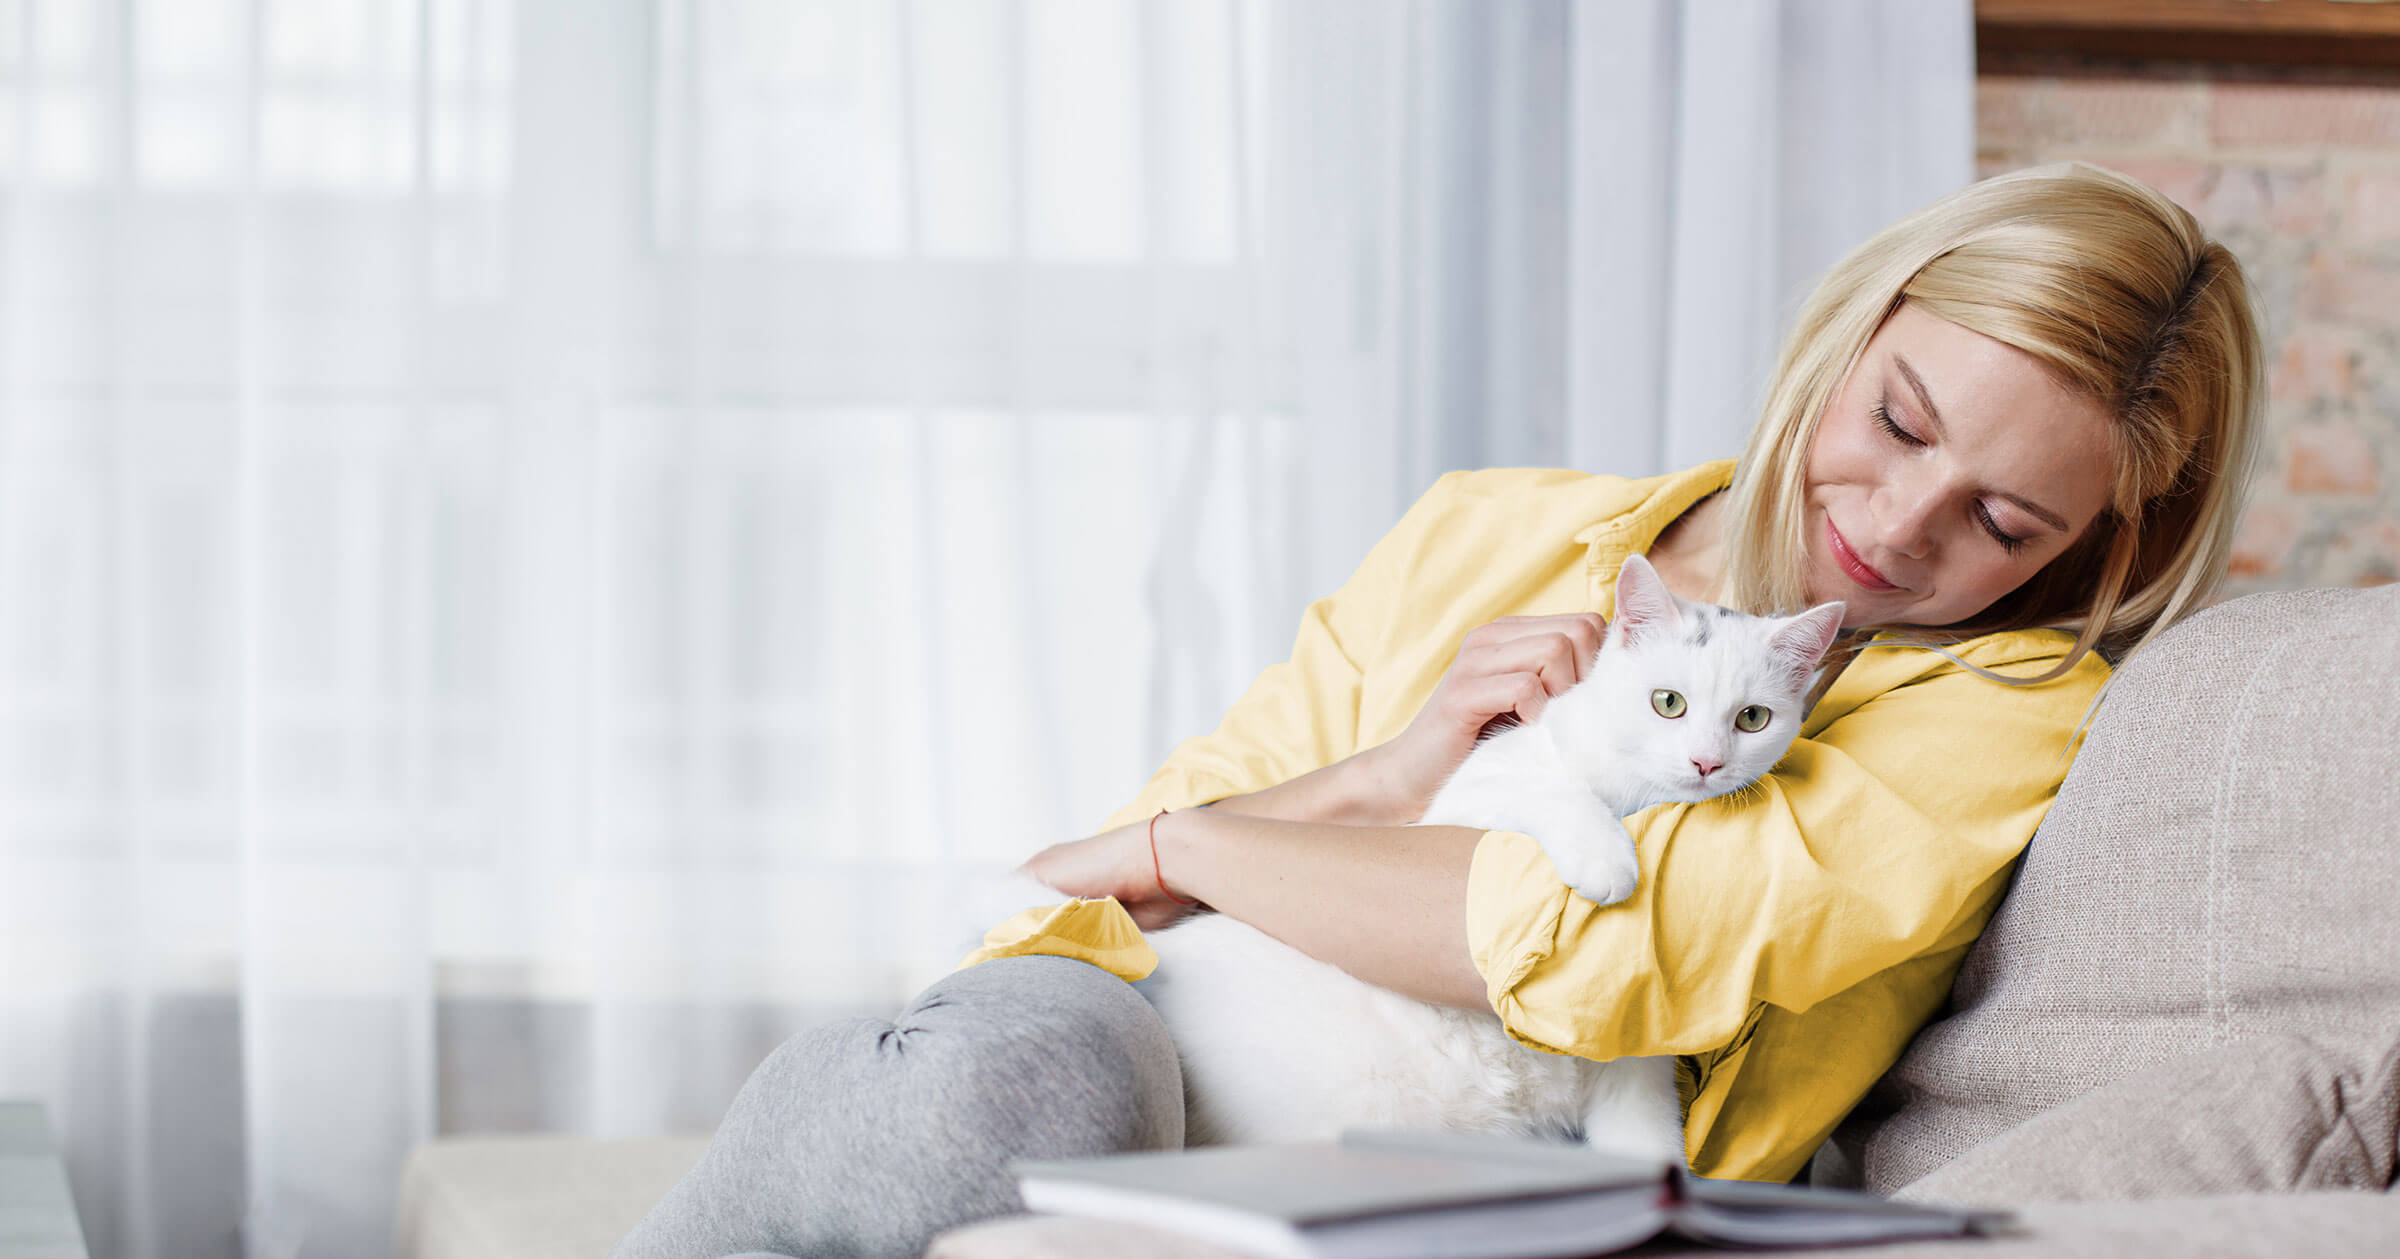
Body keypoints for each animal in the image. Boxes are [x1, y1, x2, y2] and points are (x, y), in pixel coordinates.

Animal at [993, 553, 1833, 1165]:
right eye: (1668, 703)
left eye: (1752, 718)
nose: (1705, 762)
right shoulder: (1474, 795)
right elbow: (1554, 793)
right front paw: (1606, 856)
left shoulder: (1631, 1067)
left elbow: (1648, 1146)